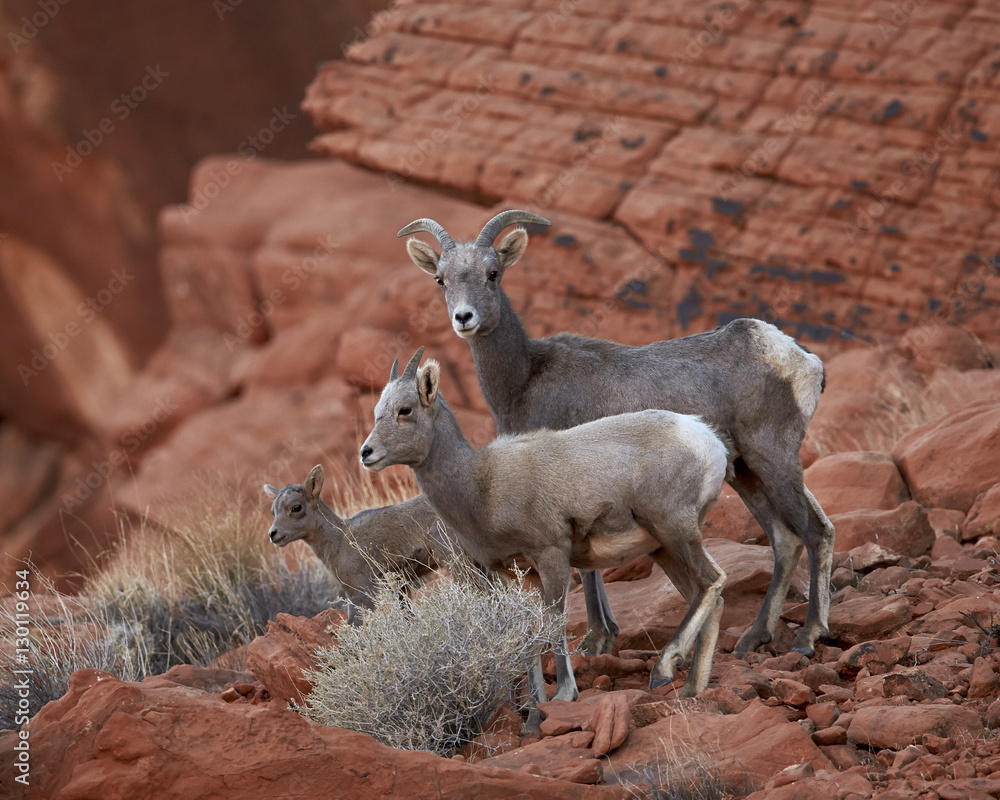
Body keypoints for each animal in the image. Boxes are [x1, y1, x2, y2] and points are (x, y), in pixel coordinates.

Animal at [262, 462, 446, 624]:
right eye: (273, 511)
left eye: (296, 507)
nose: (273, 534)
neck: (339, 543)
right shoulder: (399, 587)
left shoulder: (361, 594)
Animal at [362, 348, 736, 708]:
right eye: (378, 411)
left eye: (405, 409)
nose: (366, 453)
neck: (482, 485)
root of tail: (707, 440)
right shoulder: (522, 576)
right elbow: (529, 633)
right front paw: (533, 706)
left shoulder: (552, 556)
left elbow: (555, 624)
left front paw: (564, 695)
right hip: (662, 548)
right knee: (706, 596)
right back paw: (690, 687)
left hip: (675, 531)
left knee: (712, 581)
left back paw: (663, 669)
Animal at [398, 209, 836, 660]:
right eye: (441, 279)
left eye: (493, 273)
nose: (464, 318)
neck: (525, 378)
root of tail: (799, 357)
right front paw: (605, 635)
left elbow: (587, 572)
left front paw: (595, 640)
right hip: (746, 471)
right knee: (785, 538)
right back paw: (754, 637)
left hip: (772, 458)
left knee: (815, 531)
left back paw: (807, 637)